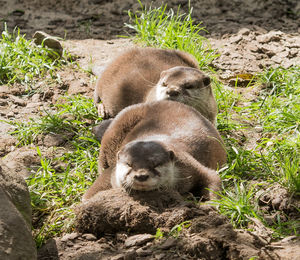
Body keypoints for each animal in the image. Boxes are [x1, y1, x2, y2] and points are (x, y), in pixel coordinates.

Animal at [83, 101, 226, 201]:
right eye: (129, 165)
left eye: (155, 165)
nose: (141, 175)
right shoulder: (111, 173)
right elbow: (88, 196)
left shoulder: (189, 164)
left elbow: (212, 177)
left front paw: (210, 205)